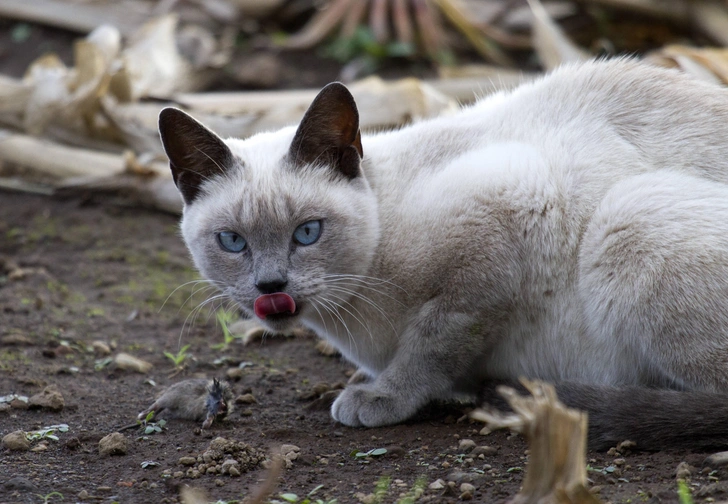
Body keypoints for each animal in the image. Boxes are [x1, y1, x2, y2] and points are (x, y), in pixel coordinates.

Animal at [159, 58, 728, 448]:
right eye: (233, 241)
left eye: (307, 233)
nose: (270, 287)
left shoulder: (508, 211)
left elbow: (434, 342)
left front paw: (381, 397)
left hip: (629, 216)